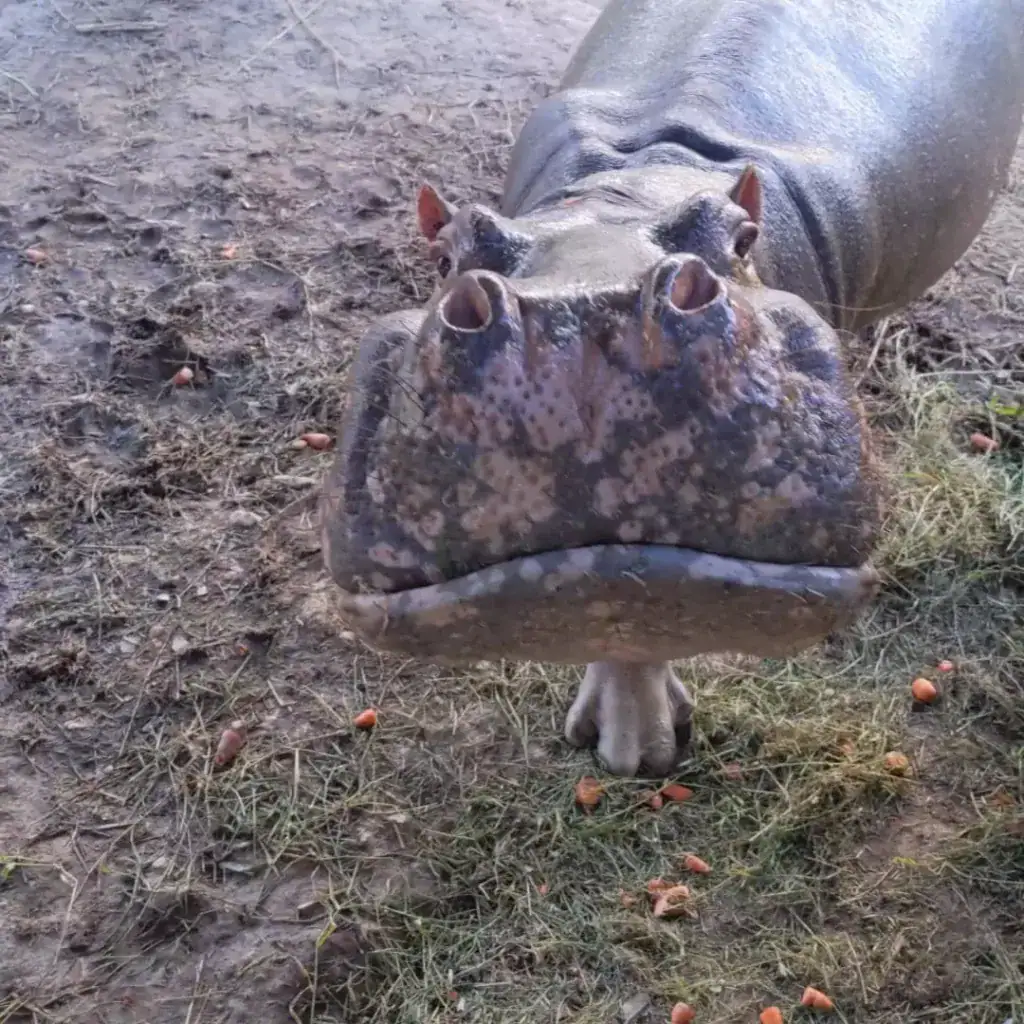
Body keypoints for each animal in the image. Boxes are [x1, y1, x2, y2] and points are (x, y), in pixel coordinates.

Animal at [320, 0, 1024, 777]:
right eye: (447, 252)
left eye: (742, 238)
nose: (577, 315)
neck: (634, 190)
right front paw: (623, 741)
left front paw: (643, 745)